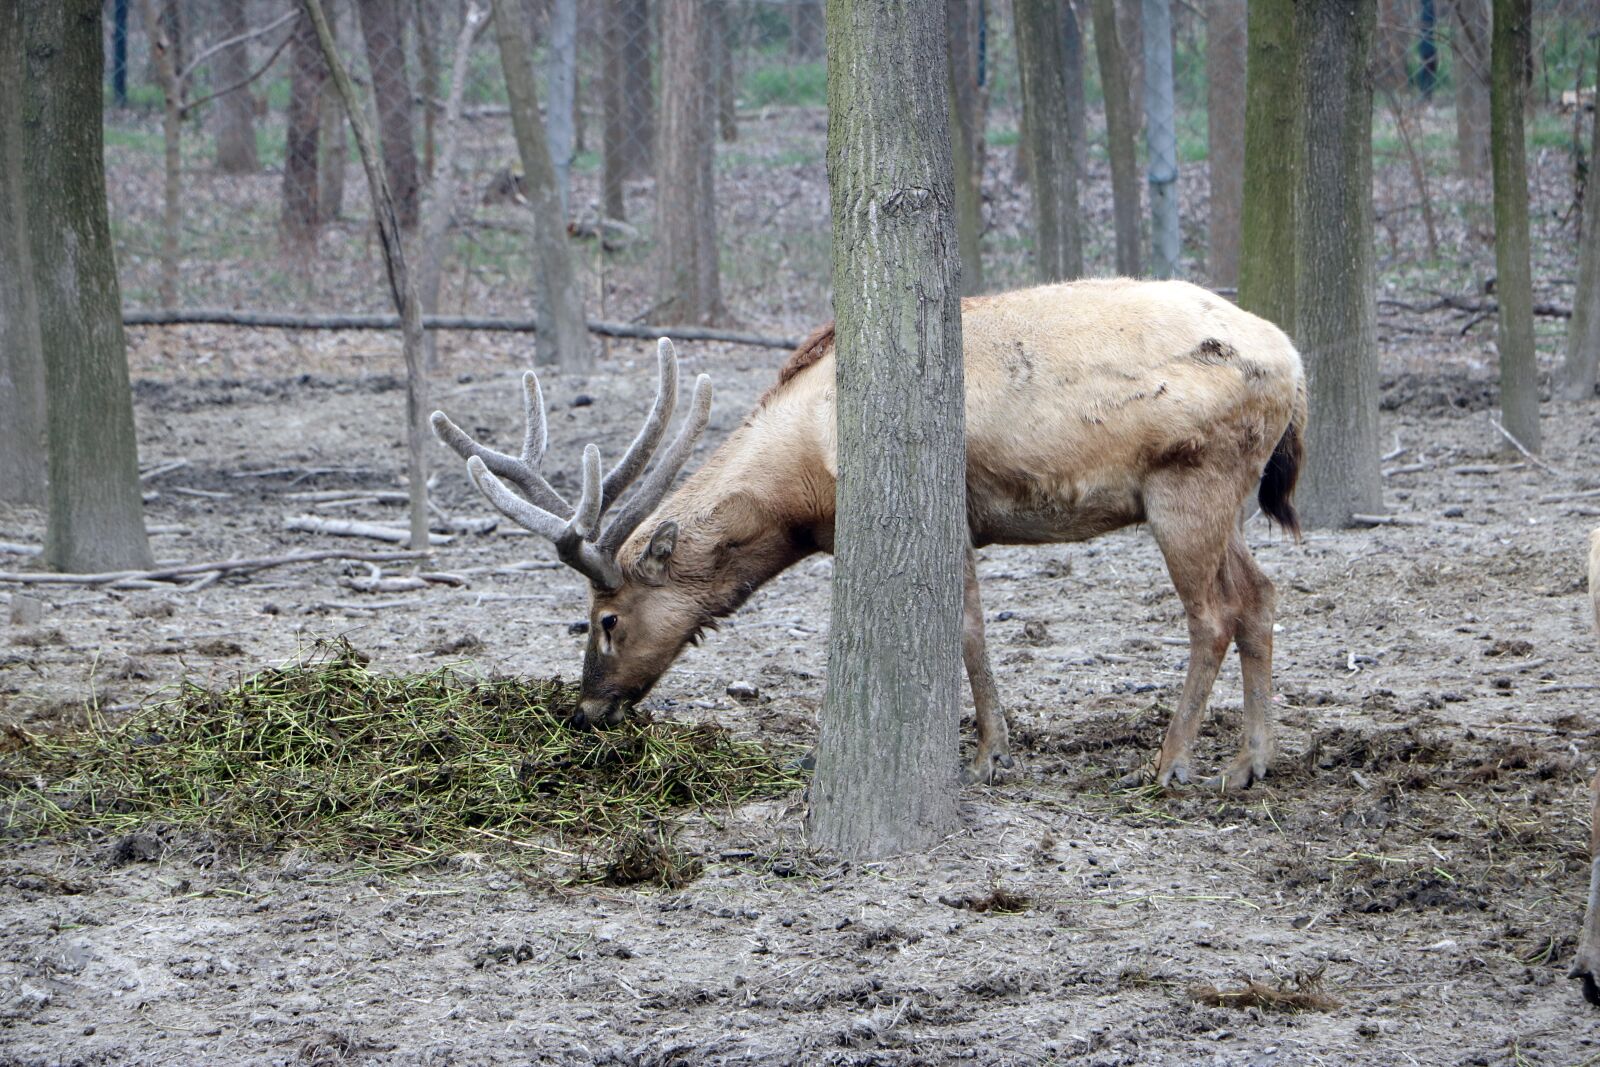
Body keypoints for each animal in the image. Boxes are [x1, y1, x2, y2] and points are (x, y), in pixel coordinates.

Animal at [432, 278, 1308, 789]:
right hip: (1224, 492)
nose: (585, 709)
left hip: (1188, 481)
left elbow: (966, 627)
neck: (802, 486)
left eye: (605, 619)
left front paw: (990, 753)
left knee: (1213, 614)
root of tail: (1297, 368)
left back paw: (1169, 763)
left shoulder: (949, 511)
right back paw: (1251, 761)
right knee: (1262, 595)